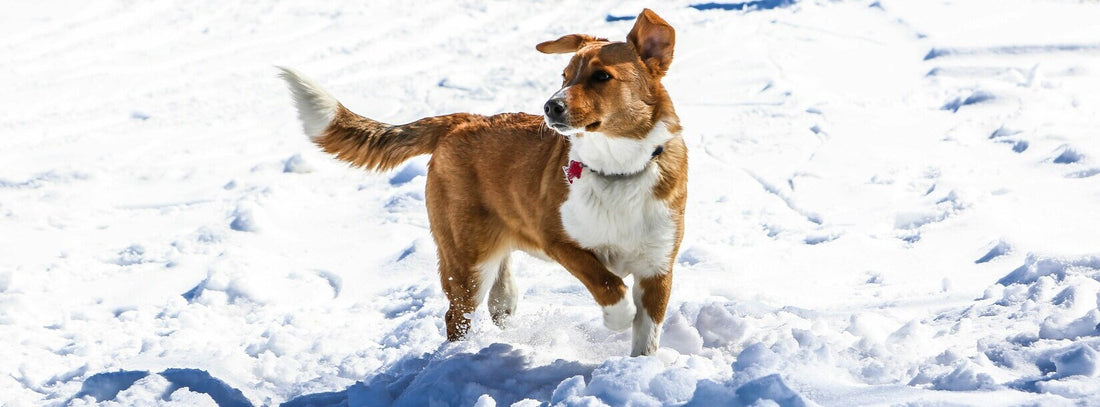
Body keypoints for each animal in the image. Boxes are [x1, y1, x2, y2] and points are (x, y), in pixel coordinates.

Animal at [279, 9, 682, 356]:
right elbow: (608, 284)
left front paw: (637, 369)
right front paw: (618, 318)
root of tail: (461, 120)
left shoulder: (658, 267)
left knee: (499, 296)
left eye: (602, 77)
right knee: (457, 315)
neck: (617, 170)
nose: (550, 107)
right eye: (564, 76)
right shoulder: (559, 240)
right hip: (466, 259)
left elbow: (647, 332)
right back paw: (457, 357)